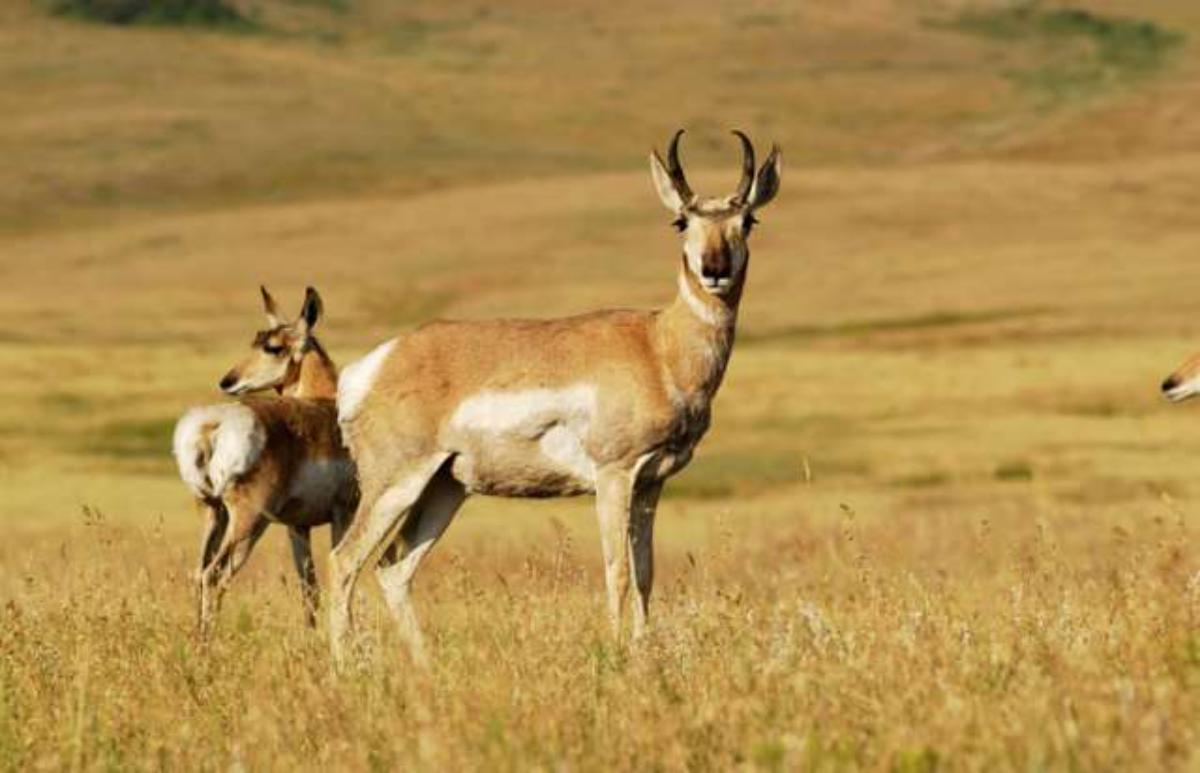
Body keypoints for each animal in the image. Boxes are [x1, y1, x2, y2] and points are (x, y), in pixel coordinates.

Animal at [172, 286, 357, 635]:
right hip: (249, 522)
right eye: (256, 342)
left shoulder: (298, 526)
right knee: (213, 575)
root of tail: (213, 424)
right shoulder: (344, 513)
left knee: (197, 573)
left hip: (213, 513)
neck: (325, 402)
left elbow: (309, 588)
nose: (227, 381)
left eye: (271, 346)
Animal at [328, 130, 781, 663]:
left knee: (393, 569)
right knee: (344, 562)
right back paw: (344, 667)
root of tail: (375, 364)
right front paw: (616, 654)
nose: (714, 269)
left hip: (445, 488)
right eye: (681, 220)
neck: (658, 345)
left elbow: (646, 575)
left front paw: (643, 652)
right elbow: (617, 573)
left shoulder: (651, 483)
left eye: (747, 220)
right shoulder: (613, 476)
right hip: (396, 482)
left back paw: (424, 665)